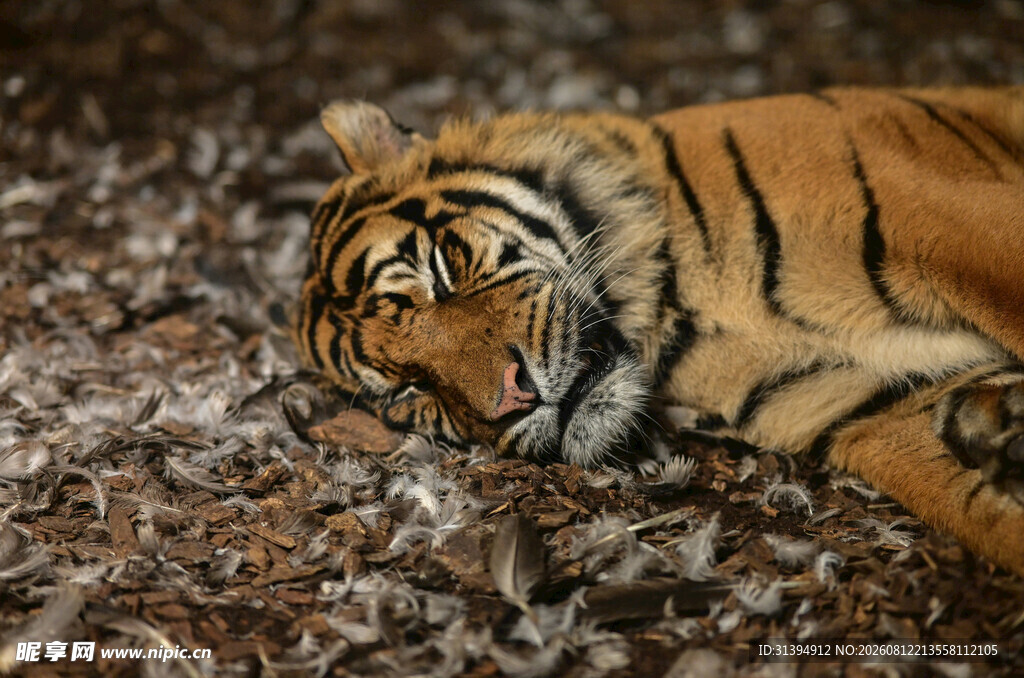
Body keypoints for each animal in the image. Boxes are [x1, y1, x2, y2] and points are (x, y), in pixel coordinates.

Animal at [294, 87, 1024, 575]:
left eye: (441, 271)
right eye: (409, 390)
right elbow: (981, 514)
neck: (682, 311)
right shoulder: (875, 408)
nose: (512, 401)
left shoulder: (944, 219)